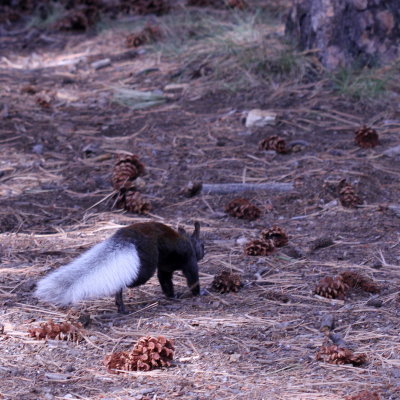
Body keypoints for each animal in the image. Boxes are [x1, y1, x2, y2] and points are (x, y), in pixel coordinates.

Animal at [34, 222, 205, 312]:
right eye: (202, 246)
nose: (203, 253)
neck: (189, 241)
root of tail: (127, 236)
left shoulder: (165, 268)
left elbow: (165, 281)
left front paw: (171, 295)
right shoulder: (189, 259)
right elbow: (192, 277)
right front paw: (198, 293)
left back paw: (120, 304)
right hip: (146, 264)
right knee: (130, 280)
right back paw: (119, 298)